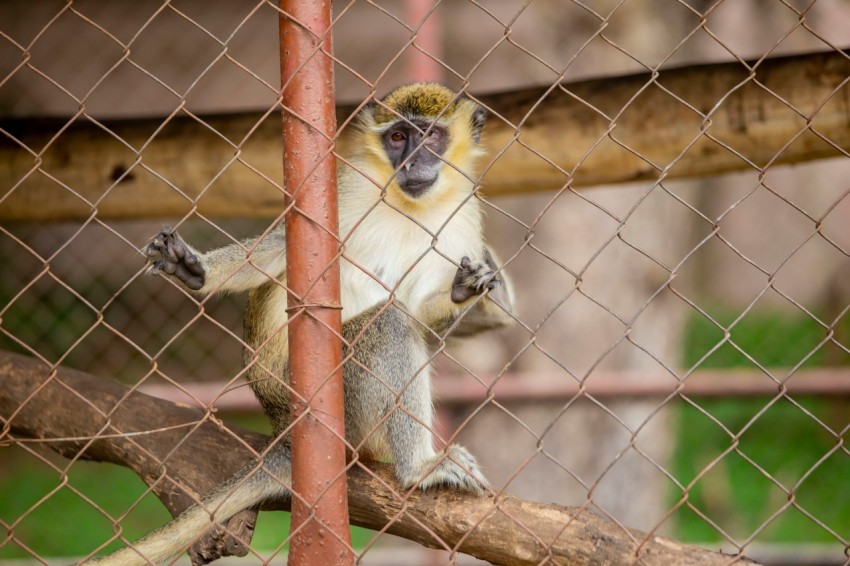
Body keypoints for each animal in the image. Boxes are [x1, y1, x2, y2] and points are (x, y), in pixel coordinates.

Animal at [87, 83, 512, 565]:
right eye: (398, 137)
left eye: (431, 136)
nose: (411, 163)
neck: (411, 205)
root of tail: (284, 432)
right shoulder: (345, 191)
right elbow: (282, 249)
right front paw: (197, 270)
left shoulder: (463, 218)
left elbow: (423, 317)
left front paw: (464, 291)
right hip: (326, 406)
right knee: (386, 323)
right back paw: (418, 468)